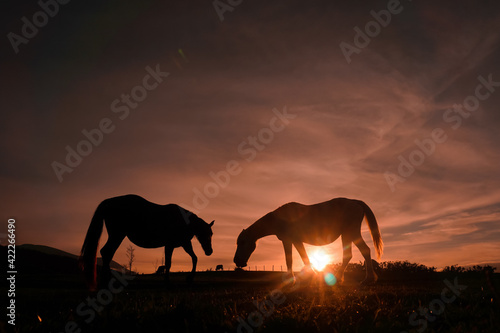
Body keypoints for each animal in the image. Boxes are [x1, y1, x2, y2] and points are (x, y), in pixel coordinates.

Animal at [79, 193, 214, 290]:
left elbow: (194, 258)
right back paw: (105, 281)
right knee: (107, 252)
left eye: (211, 234)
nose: (209, 251)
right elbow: (168, 263)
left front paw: (189, 279)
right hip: (117, 235)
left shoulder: (184, 244)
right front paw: (168, 283)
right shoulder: (169, 245)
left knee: (107, 253)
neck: (184, 221)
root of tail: (108, 201)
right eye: (206, 234)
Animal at [233, 197, 382, 282]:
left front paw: (298, 278)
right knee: (350, 255)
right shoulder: (291, 241)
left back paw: (368, 279)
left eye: (242, 242)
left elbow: (296, 258)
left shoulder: (292, 240)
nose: (237, 261)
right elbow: (297, 258)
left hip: (351, 233)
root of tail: (356, 202)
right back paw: (341, 278)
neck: (280, 219)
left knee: (364, 251)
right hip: (347, 235)